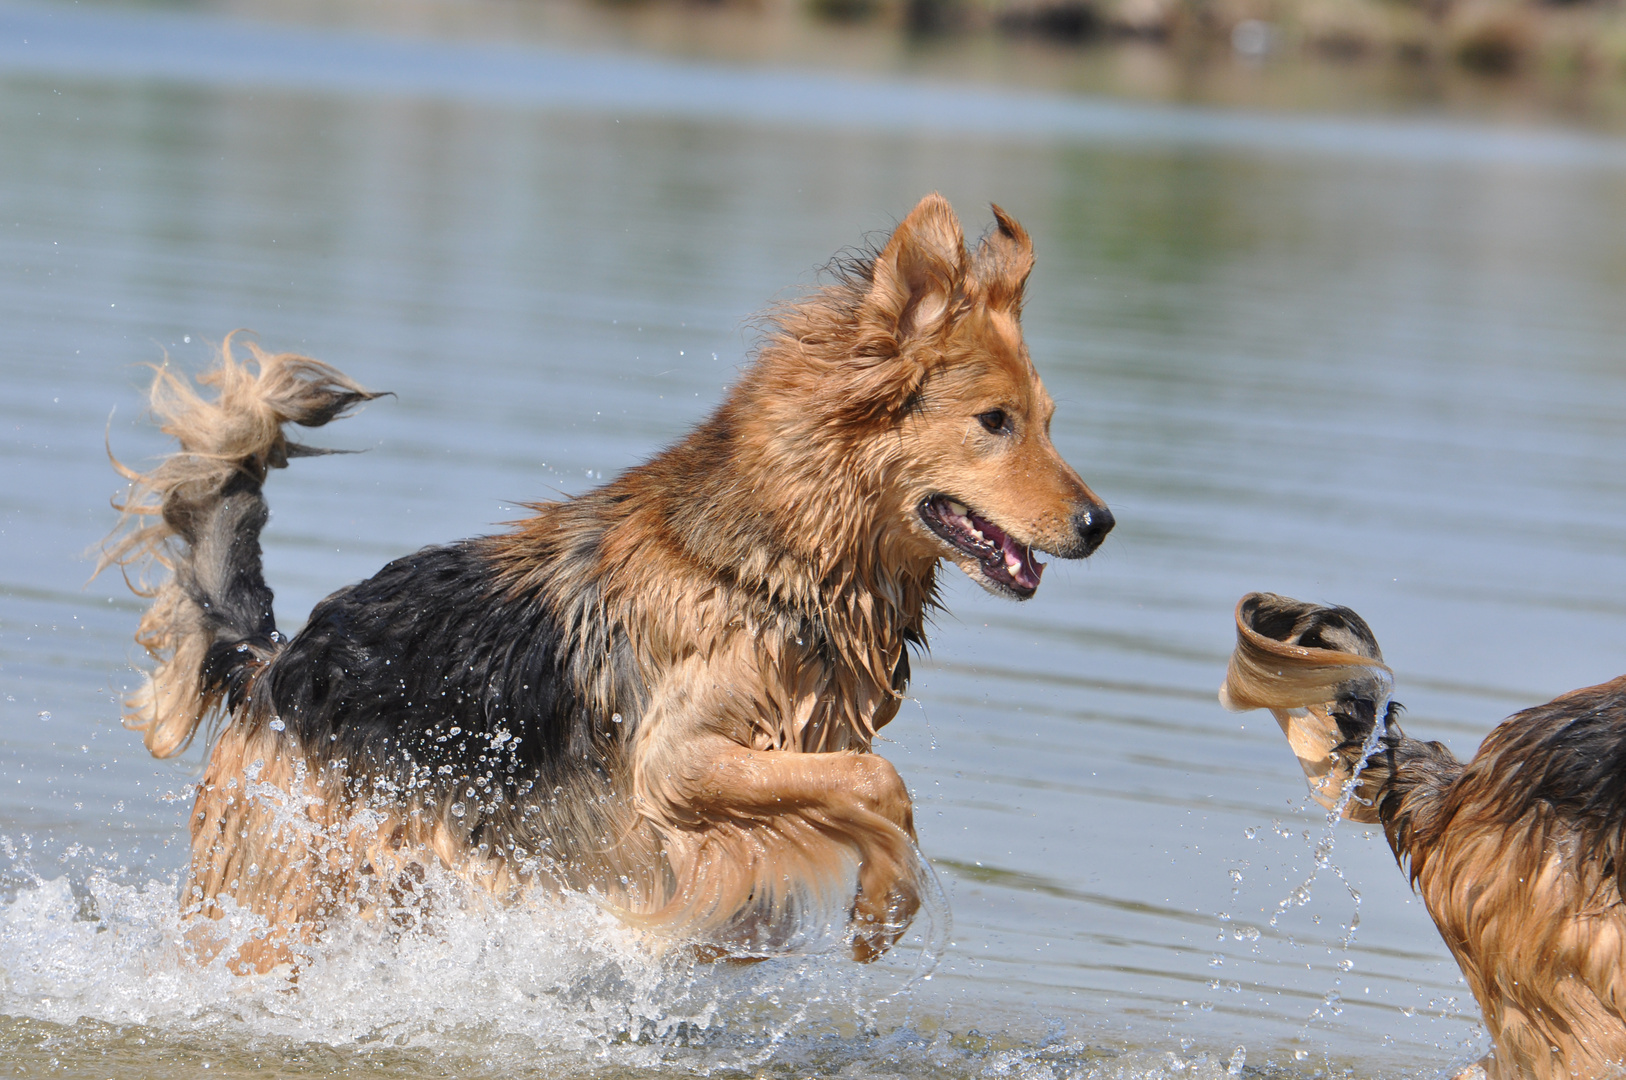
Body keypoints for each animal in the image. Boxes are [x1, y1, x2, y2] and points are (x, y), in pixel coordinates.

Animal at [104, 191, 1118, 969]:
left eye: (1046, 420)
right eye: (994, 422)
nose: (1101, 525)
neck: (767, 565)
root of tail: (274, 663)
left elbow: (848, 798)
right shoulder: (678, 762)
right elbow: (880, 782)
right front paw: (882, 910)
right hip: (277, 904)